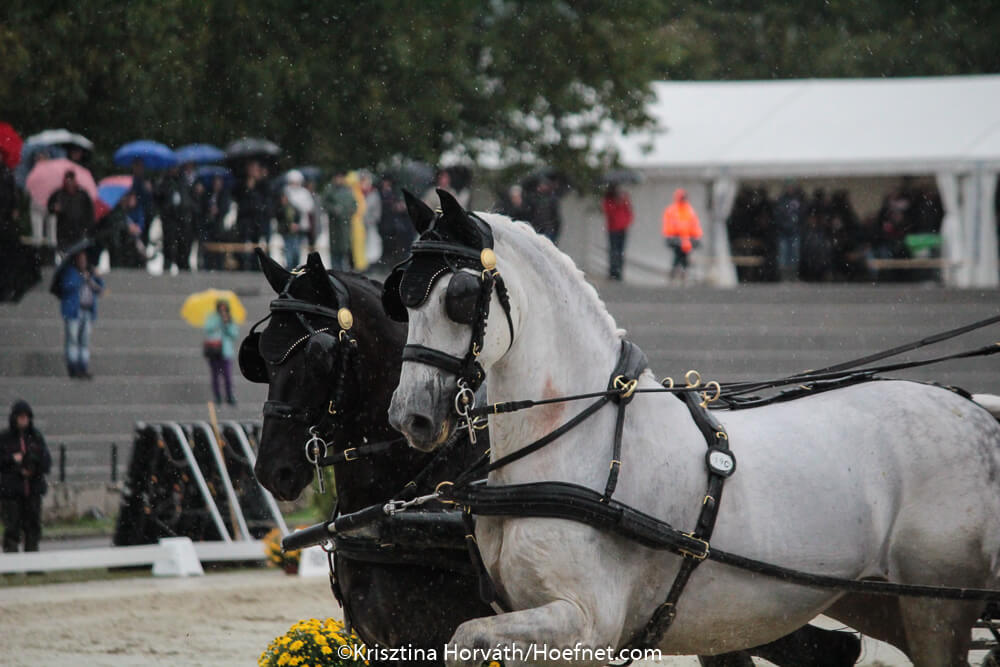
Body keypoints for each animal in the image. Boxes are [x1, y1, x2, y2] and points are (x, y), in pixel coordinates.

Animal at [386, 189, 1000, 667]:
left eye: (460, 297)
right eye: (402, 299)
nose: (409, 416)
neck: (577, 443)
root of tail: (974, 411)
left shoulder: (587, 623)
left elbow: (463, 638)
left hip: (935, 604)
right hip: (879, 600)